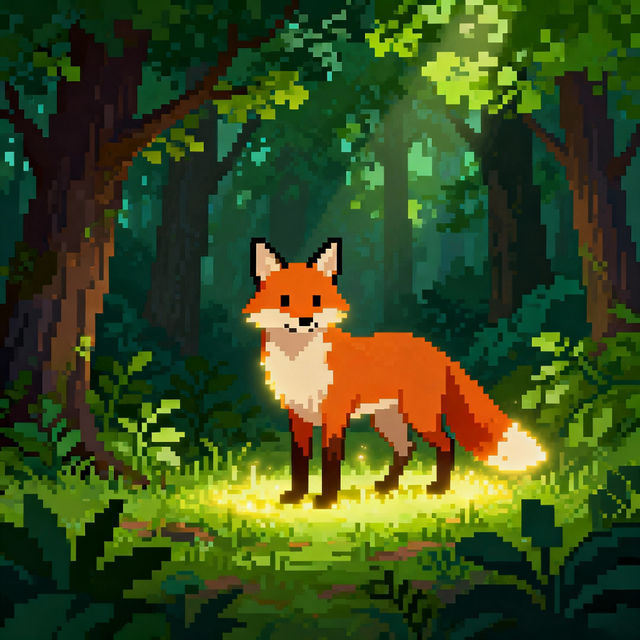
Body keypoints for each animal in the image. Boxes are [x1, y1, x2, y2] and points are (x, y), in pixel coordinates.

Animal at [243, 238, 546, 508]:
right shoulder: (298, 416)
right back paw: (388, 486)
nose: (306, 321)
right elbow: (299, 461)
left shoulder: (335, 414)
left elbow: (329, 460)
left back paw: (439, 488)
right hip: (386, 418)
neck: (299, 362)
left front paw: (326, 500)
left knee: (446, 443)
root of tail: (435, 349)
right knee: (406, 448)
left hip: (419, 415)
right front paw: (296, 496)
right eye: (284, 300)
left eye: (316, 300)